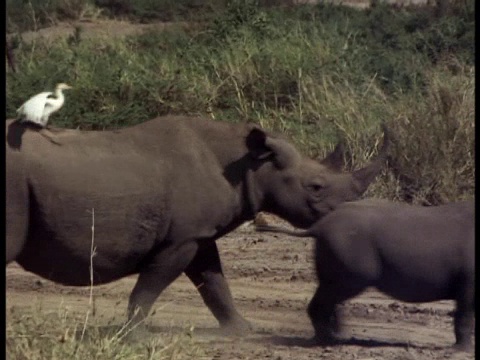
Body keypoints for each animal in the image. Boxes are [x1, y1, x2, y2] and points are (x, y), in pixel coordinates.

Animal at [6, 115, 390, 334]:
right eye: (316, 187)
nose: (351, 219)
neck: (251, 164)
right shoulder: (182, 239)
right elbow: (150, 286)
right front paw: (133, 335)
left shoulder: (200, 235)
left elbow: (214, 283)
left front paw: (242, 330)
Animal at [256, 198, 474, 350]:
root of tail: (318, 226)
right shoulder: (468, 284)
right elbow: (464, 316)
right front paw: (460, 351)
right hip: (348, 247)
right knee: (337, 290)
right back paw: (328, 341)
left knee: (329, 289)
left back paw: (334, 336)